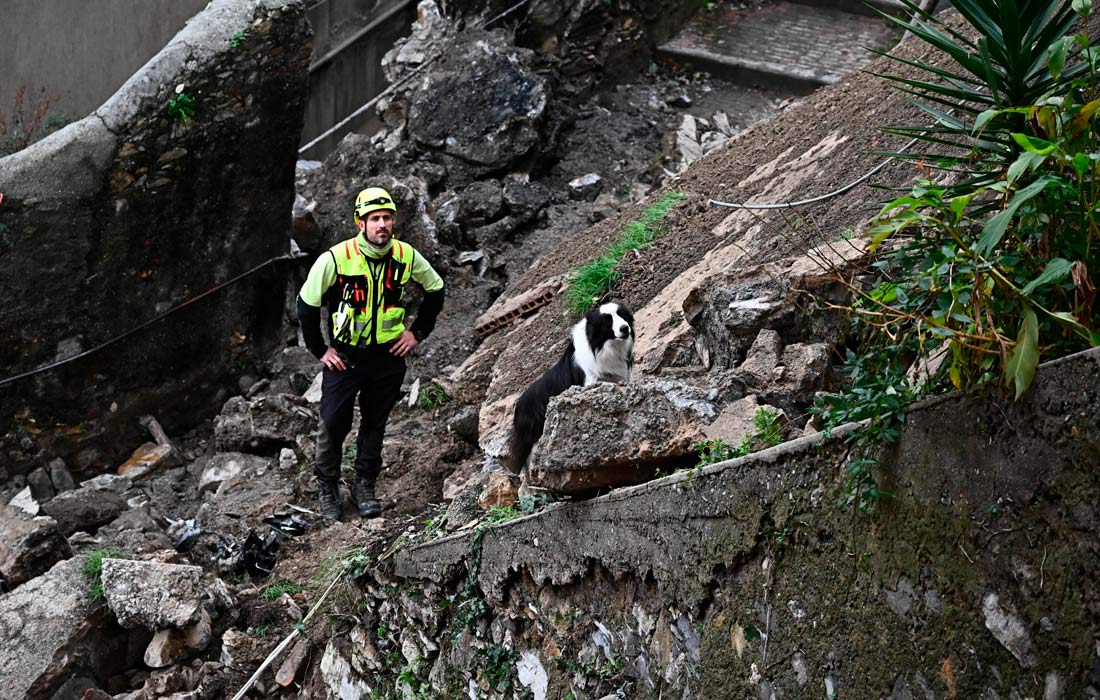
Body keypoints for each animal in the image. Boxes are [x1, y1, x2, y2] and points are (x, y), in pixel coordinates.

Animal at [506, 299, 638, 471]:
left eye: (621, 314)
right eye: (607, 321)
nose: (625, 328)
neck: (603, 346)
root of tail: (518, 407)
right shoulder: (590, 381)